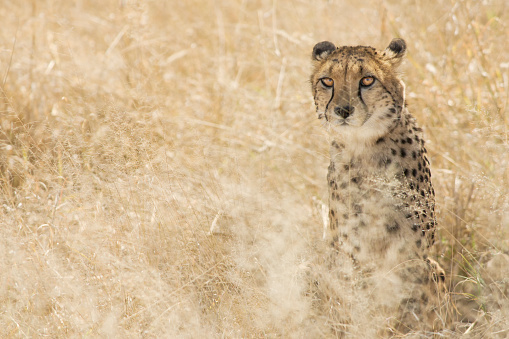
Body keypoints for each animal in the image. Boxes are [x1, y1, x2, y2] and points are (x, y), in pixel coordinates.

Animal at [310, 38, 444, 336]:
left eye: (367, 80)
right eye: (327, 81)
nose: (343, 111)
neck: (366, 146)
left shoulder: (413, 253)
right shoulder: (353, 254)